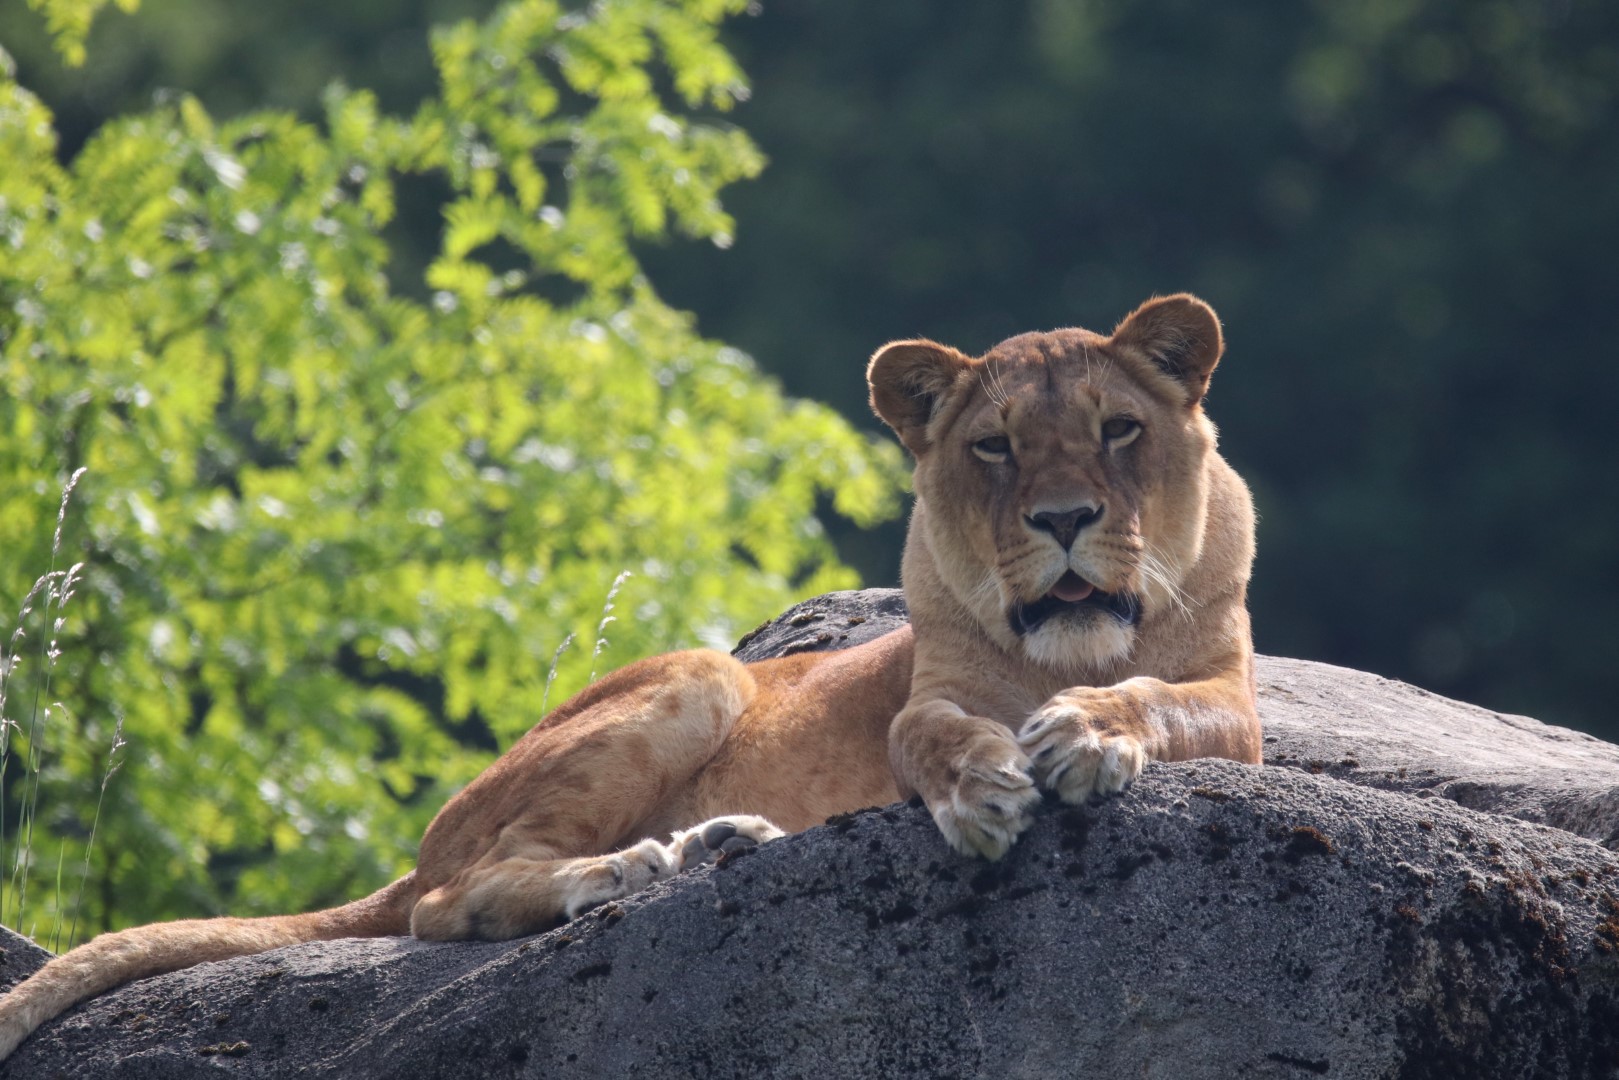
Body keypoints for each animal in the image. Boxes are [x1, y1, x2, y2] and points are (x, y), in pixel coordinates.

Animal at [0, 293, 1259, 1060]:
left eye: (1116, 430)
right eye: (992, 447)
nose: (1062, 520)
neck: (1071, 647)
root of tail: (420, 846)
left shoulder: (1235, 707)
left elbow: (1161, 699)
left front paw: (1086, 735)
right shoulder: (922, 697)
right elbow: (933, 737)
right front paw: (986, 788)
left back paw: (713, 847)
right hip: (692, 681)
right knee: (458, 902)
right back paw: (619, 872)